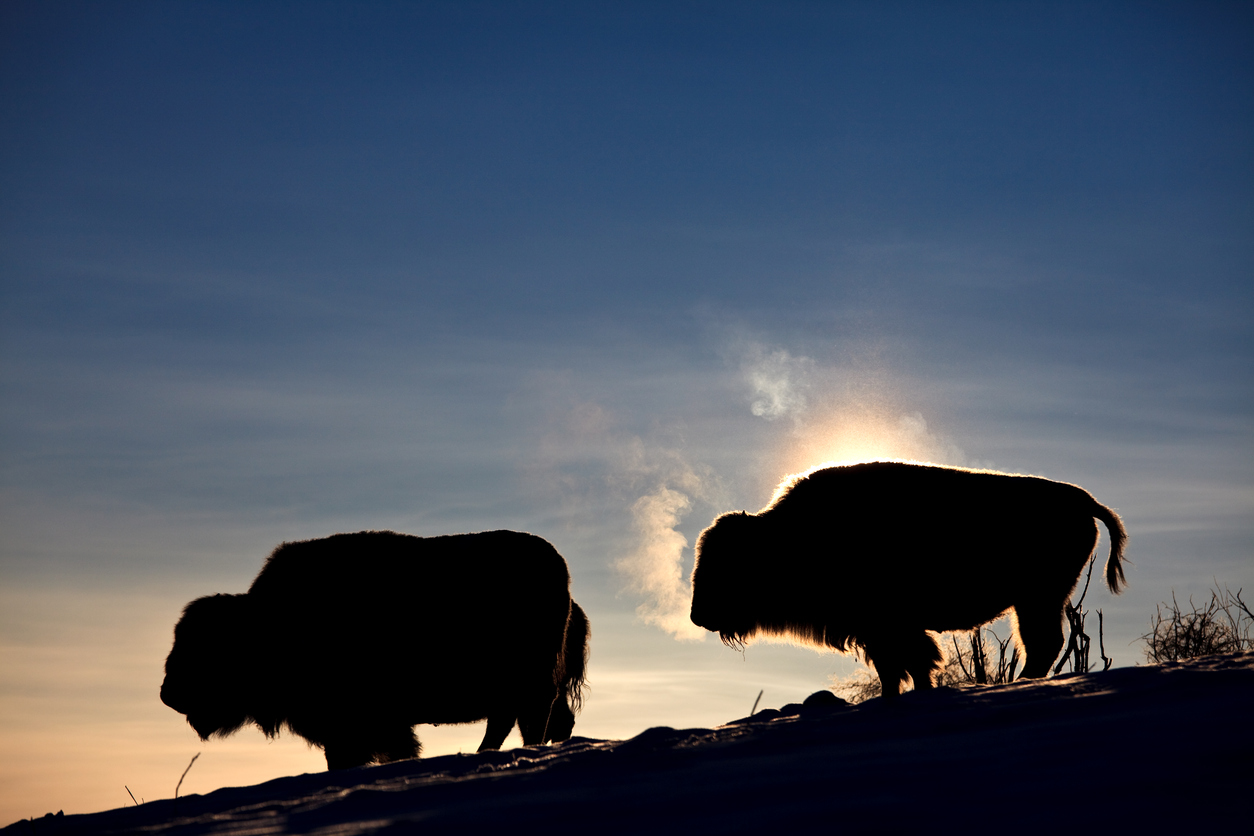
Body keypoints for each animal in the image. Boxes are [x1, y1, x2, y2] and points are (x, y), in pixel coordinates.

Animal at [161, 530, 589, 769]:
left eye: (207, 647)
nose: (168, 693)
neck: (265, 622)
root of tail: (563, 576)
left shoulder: (362, 725)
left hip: (531, 686)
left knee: (527, 723)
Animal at [689, 461, 1127, 696]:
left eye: (728, 564)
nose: (697, 615)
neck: (786, 537)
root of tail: (1082, 500)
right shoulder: (879, 630)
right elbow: (900, 666)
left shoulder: (888, 626)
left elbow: (906, 664)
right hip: (1037, 600)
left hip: (1038, 599)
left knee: (1042, 644)